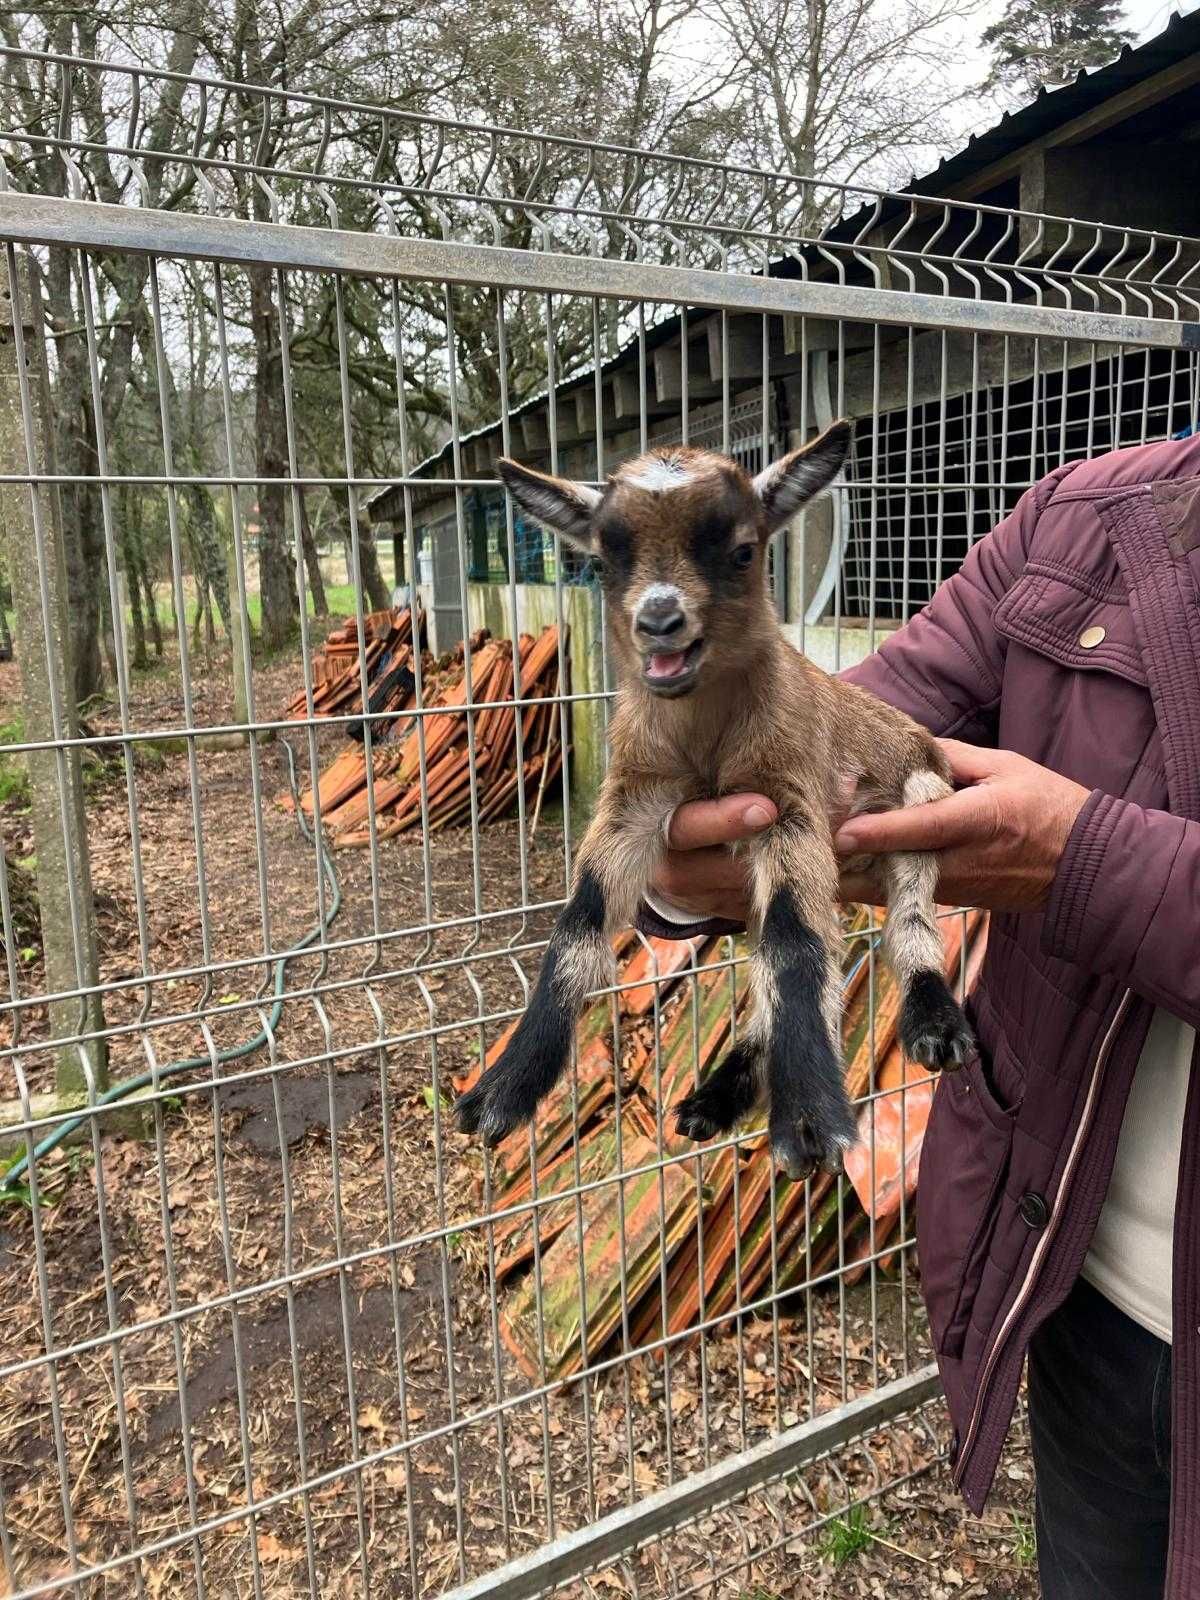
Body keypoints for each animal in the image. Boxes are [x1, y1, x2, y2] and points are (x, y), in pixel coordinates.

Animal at [460, 422, 979, 1177]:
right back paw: (719, 1094)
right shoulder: (636, 798)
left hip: (921, 794)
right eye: (604, 561)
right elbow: (581, 923)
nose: (659, 620)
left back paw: (935, 1026)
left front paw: (810, 1123)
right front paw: (506, 1088)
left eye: (740, 551)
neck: (705, 736)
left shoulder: (787, 798)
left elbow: (794, 946)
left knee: (903, 921)